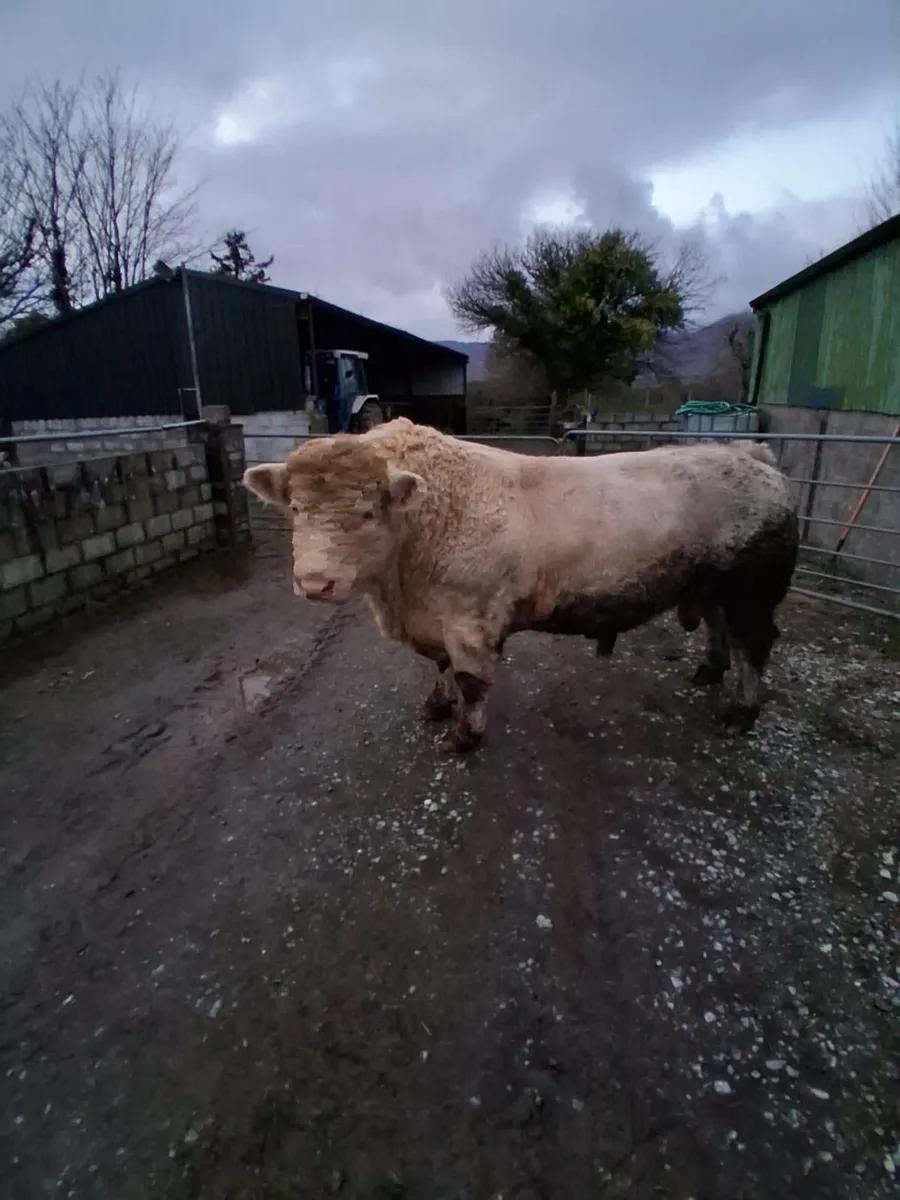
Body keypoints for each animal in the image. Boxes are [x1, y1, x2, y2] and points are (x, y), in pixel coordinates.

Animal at [244, 419, 799, 753]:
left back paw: (741, 712)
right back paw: (709, 671)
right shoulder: (436, 618)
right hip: (710, 586)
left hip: (751, 591)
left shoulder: (469, 618)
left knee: (754, 644)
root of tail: (751, 455)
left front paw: (465, 736)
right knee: (720, 630)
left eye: (366, 511)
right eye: (296, 508)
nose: (316, 583)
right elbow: (440, 669)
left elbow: (470, 680)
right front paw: (436, 704)